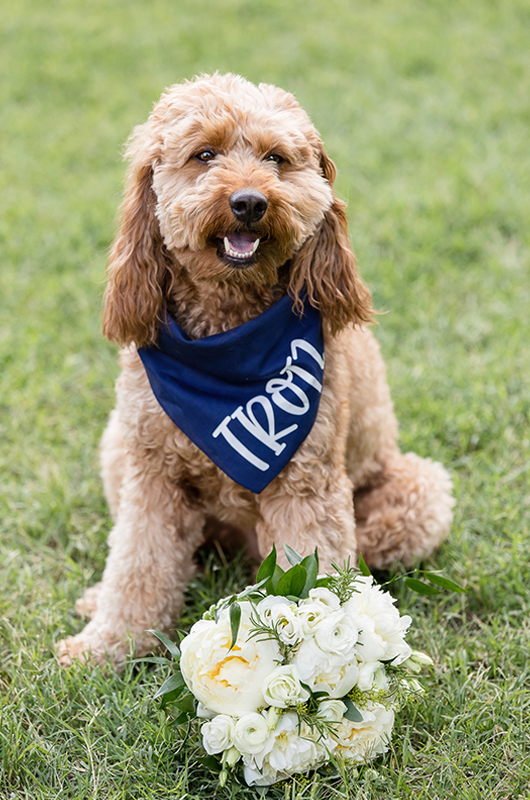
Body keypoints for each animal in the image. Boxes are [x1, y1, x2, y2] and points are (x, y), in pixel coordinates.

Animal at [57, 73, 454, 668]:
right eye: (204, 154)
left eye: (276, 158)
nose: (249, 202)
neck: (227, 334)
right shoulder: (151, 475)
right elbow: (138, 565)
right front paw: (107, 647)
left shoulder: (306, 485)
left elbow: (312, 575)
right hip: (115, 449)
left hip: (417, 496)